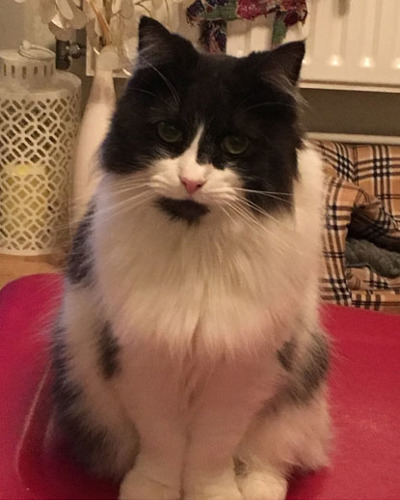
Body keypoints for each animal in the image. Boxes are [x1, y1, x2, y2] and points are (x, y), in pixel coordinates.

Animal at [52, 15, 332, 500]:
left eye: (236, 144)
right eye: (168, 132)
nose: (191, 181)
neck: (196, 247)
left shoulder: (239, 371)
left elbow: (211, 454)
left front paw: (212, 492)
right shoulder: (146, 360)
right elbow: (163, 445)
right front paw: (153, 490)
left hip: (296, 394)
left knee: (270, 458)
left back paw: (257, 487)